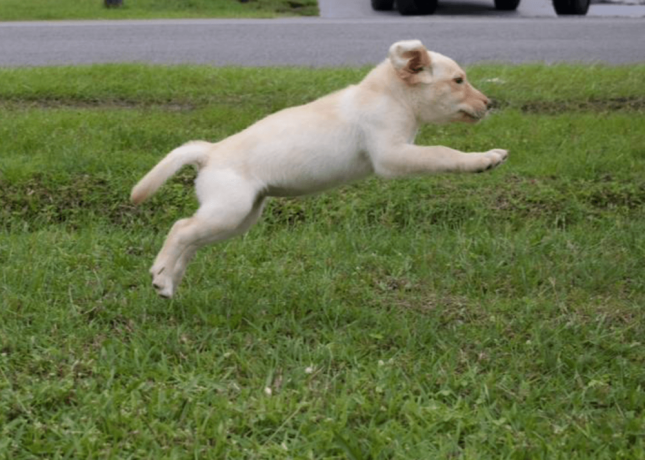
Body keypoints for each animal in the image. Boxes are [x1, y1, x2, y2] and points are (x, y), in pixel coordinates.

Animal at [132, 39, 508, 298]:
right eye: (458, 81)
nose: (489, 104)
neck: (391, 95)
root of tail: (210, 152)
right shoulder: (391, 155)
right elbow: (443, 152)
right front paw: (484, 159)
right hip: (229, 210)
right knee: (181, 228)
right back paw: (162, 275)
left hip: (238, 217)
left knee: (191, 239)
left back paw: (169, 280)